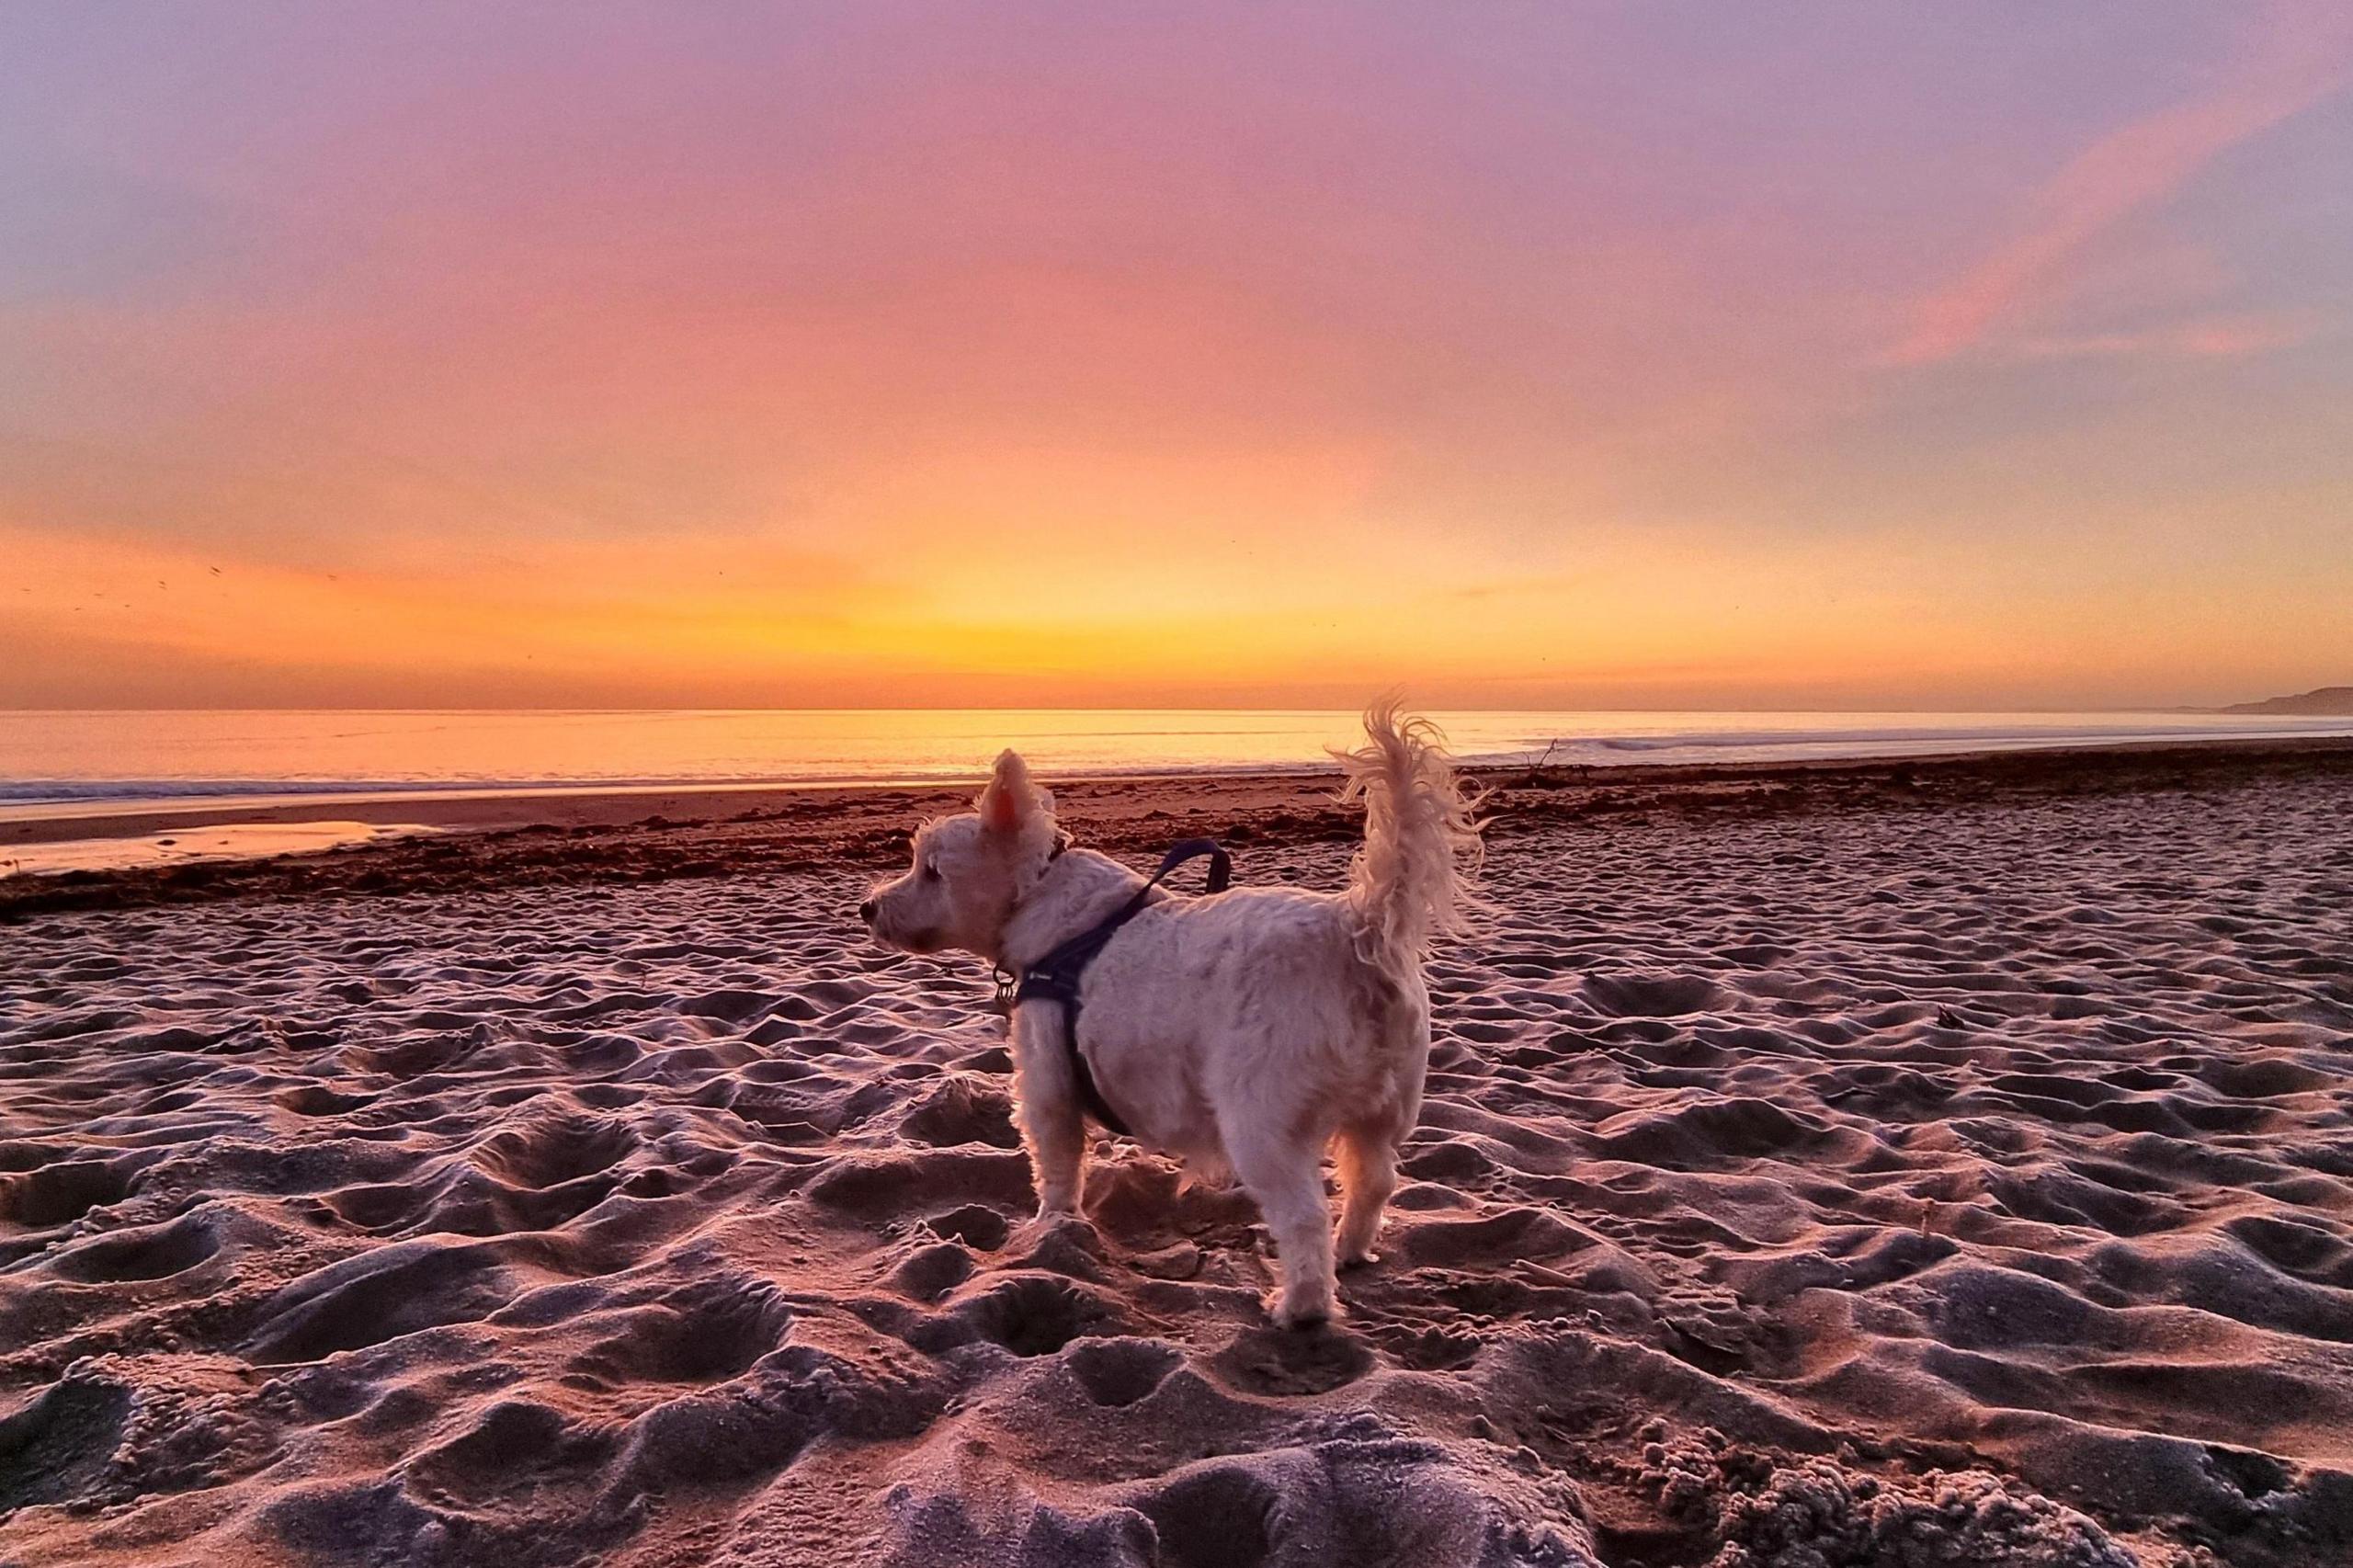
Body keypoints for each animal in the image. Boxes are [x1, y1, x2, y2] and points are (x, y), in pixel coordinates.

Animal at [866, 701, 1477, 1327]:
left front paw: (1052, 1228)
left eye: (932, 871)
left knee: (1304, 1215)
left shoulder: (1046, 1087)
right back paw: (1352, 1252)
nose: (868, 908)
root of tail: (1359, 929)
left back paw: (1299, 1307)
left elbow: (1057, 1167)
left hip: (1263, 1121)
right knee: (1374, 1181)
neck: (1040, 898)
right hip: (1384, 1110)